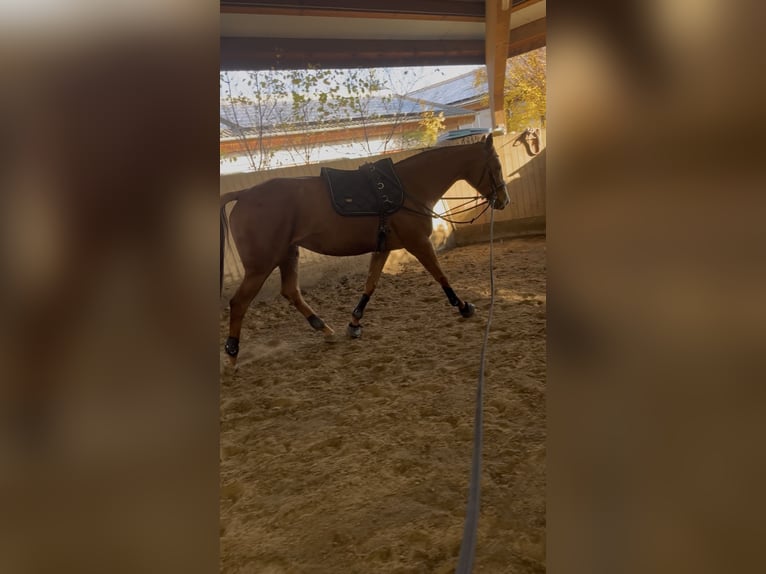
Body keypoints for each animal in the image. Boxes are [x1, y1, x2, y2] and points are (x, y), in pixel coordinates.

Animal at [220, 134, 510, 364]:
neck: (407, 187)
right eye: (496, 165)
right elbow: (441, 276)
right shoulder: (418, 243)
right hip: (261, 265)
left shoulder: (383, 248)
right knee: (239, 303)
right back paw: (233, 355)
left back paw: (325, 330)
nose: (504, 201)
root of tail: (243, 194)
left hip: (288, 254)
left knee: (291, 292)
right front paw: (463, 306)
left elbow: (370, 284)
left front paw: (354, 324)